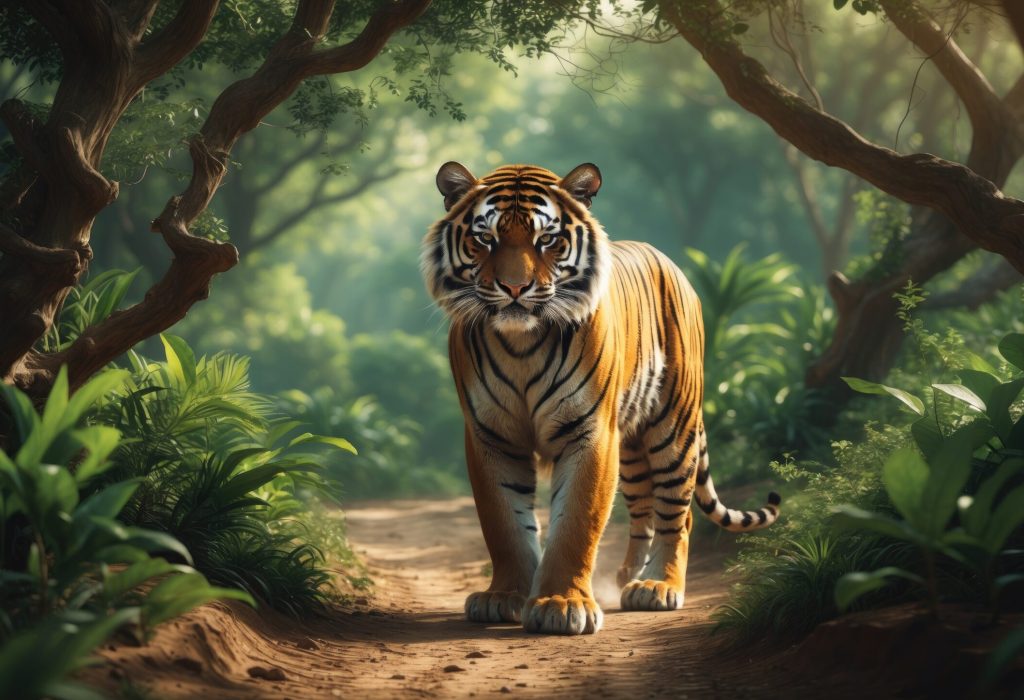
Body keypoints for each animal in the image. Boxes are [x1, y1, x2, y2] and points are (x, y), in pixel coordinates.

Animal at [420, 161, 781, 636]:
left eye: (547, 239)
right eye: (485, 238)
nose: (515, 288)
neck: (521, 344)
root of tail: (668, 260)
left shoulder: (589, 432)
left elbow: (577, 521)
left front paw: (561, 603)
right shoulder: (490, 436)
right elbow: (503, 523)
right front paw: (504, 597)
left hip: (674, 424)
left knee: (677, 512)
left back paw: (659, 586)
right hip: (630, 447)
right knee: (643, 509)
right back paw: (630, 576)